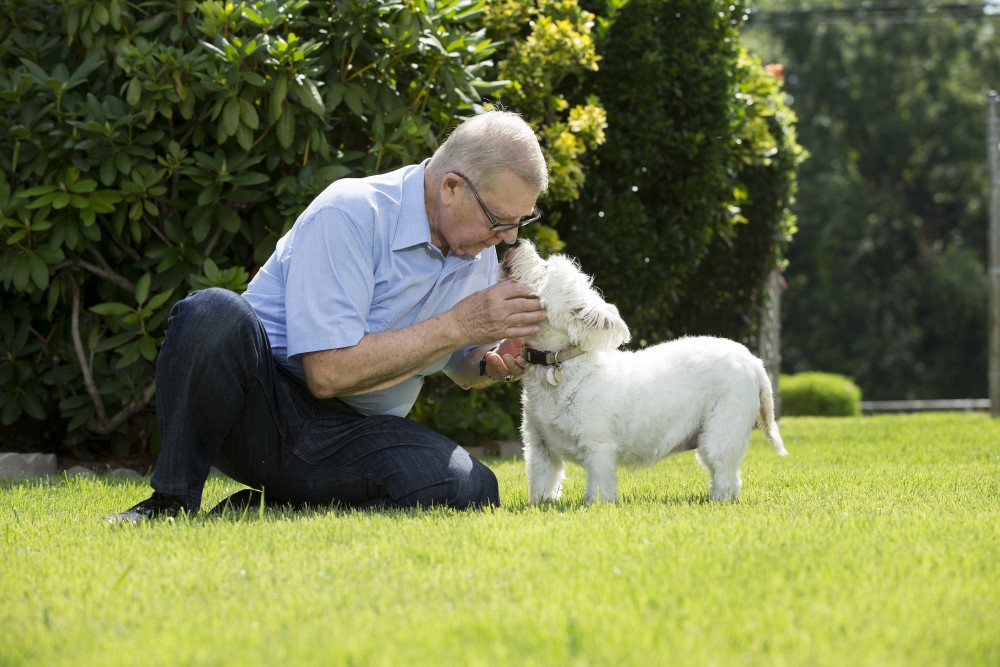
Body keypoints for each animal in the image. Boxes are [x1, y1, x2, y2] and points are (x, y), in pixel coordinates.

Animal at [504, 243, 784, 504]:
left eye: (544, 269)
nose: (515, 245)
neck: (558, 367)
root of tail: (754, 362)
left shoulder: (598, 447)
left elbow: (599, 486)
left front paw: (598, 505)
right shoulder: (539, 446)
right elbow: (543, 483)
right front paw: (542, 504)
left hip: (722, 430)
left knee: (726, 475)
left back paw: (718, 501)